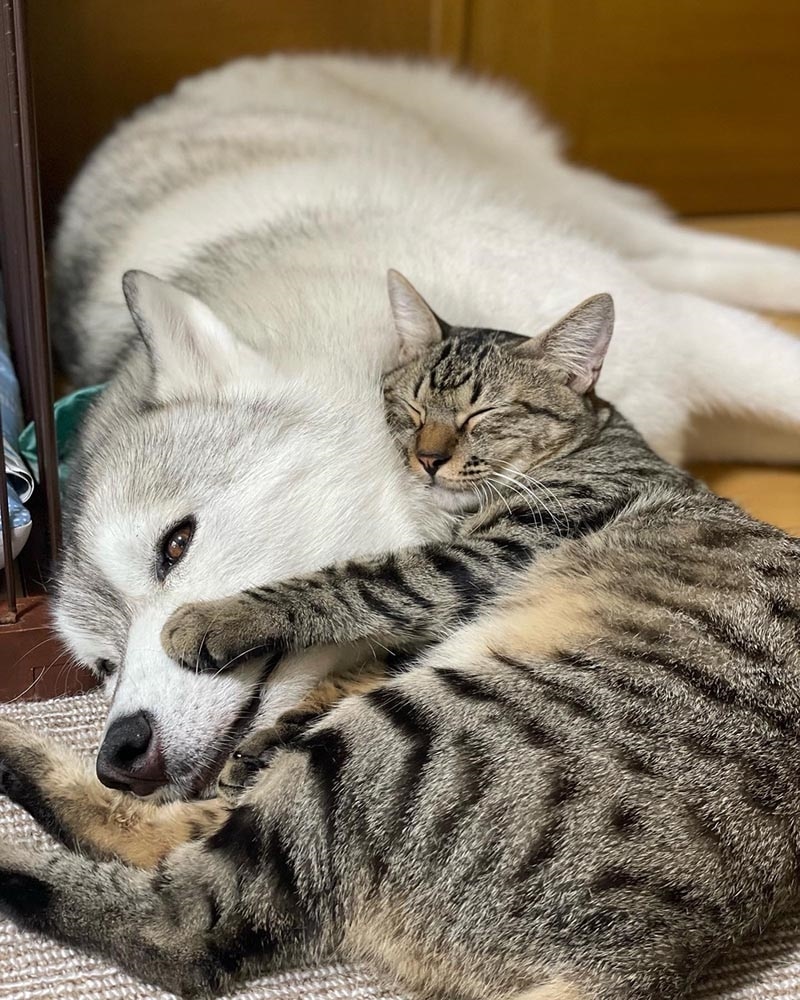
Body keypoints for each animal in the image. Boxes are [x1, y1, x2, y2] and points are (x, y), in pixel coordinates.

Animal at [1, 278, 800, 1000]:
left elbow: (352, 583)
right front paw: (267, 734)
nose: (120, 751)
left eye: (176, 546)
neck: (599, 436)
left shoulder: (479, 559)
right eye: (410, 408)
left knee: (185, 926)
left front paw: (213, 619)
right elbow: (355, 649)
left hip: (409, 735)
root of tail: (643, 963)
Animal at [50, 56, 800, 804]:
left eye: (174, 545)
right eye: (102, 666)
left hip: (569, 202)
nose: (119, 757)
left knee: (677, 247)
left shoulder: (685, 341)